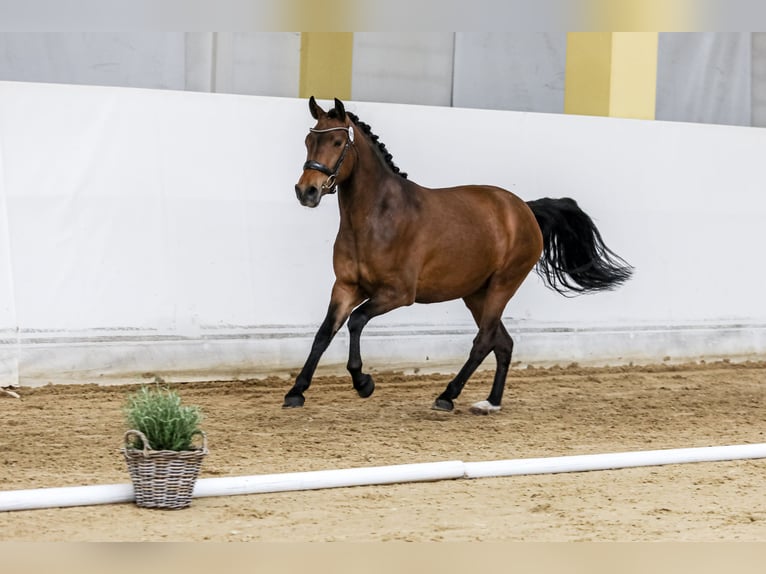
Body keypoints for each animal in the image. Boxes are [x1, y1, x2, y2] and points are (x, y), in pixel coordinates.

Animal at [284, 98, 632, 414]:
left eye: (338, 142)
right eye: (309, 140)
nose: (306, 191)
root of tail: (524, 209)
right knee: (502, 342)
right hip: (476, 293)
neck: (376, 218)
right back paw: (490, 402)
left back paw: (447, 396)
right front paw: (296, 392)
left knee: (484, 341)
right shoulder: (345, 287)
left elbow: (356, 321)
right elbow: (324, 333)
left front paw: (363, 382)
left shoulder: (398, 293)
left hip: (503, 285)